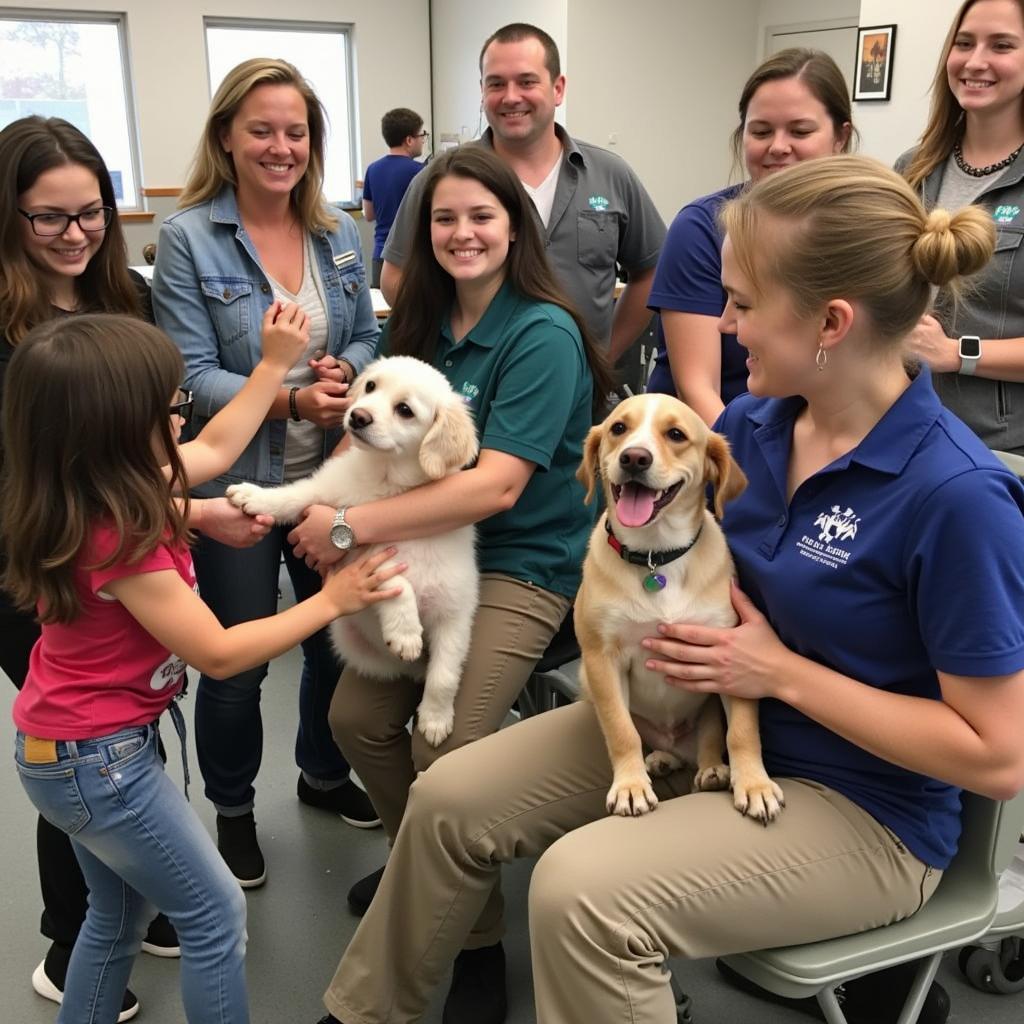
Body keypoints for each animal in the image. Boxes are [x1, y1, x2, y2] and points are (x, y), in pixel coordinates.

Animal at [226, 356, 477, 749]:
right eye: (371, 386)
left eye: (405, 410)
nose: (357, 416)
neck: (385, 482)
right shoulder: (344, 532)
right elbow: (293, 496)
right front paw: (255, 496)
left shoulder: (454, 614)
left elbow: (444, 676)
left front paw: (436, 719)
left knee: (430, 673)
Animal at [577, 391, 782, 823]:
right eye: (618, 428)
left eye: (675, 435)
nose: (634, 458)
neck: (657, 558)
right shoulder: (601, 659)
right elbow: (621, 730)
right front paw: (631, 785)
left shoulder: (729, 656)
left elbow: (742, 731)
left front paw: (754, 783)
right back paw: (659, 759)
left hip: (707, 708)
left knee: (710, 739)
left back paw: (712, 770)